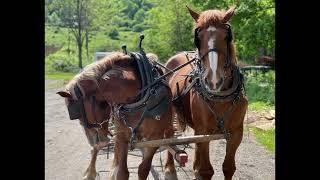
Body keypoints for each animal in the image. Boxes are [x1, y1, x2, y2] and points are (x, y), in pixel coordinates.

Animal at [57, 51, 178, 179]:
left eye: (78, 114)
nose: (92, 141)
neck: (142, 96)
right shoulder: (121, 135)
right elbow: (122, 172)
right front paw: (114, 170)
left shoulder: (155, 138)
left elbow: (143, 169)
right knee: (102, 150)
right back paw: (92, 172)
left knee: (170, 134)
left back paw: (170, 170)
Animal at [165, 6, 248, 179]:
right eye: (198, 37)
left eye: (226, 36)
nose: (213, 80)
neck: (220, 96)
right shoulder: (204, 132)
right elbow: (206, 170)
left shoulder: (237, 133)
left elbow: (228, 167)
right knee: (169, 137)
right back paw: (170, 169)